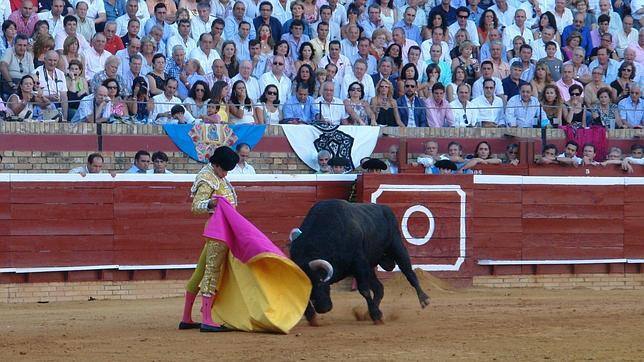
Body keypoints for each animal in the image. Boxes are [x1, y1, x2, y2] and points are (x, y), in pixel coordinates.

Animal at [290, 199, 430, 324]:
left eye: (319, 281)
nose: (322, 309)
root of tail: (385, 208)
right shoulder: (361, 267)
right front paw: (311, 317)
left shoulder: (359, 263)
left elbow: (364, 290)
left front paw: (376, 316)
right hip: (369, 267)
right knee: (379, 288)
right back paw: (370, 313)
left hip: (397, 248)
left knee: (409, 273)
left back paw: (424, 300)